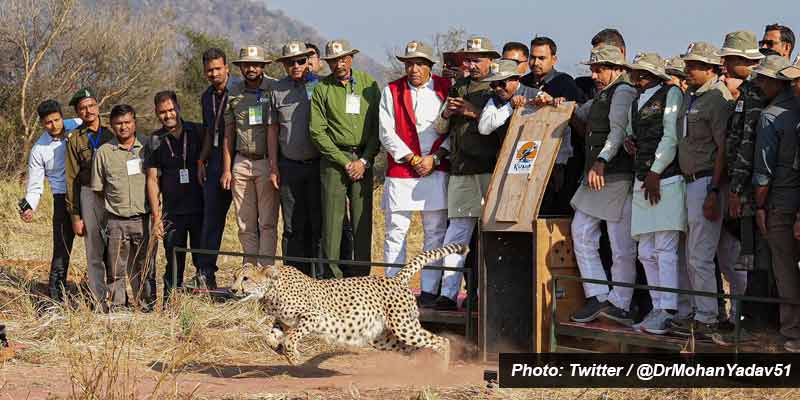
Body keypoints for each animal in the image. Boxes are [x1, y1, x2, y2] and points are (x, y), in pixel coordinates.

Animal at [228, 242, 466, 368]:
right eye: (234, 277)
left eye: (245, 279)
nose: (232, 290)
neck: (270, 289)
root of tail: (395, 279)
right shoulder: (283, 320)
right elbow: (269, 337)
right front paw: (278, 349)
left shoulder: (312, 316)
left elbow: (291, 337)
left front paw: (293, 357)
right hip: (382, 337)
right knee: (414, 348)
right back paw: (420, 367)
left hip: (403, 326)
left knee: (441, 340)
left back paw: (442, 368)